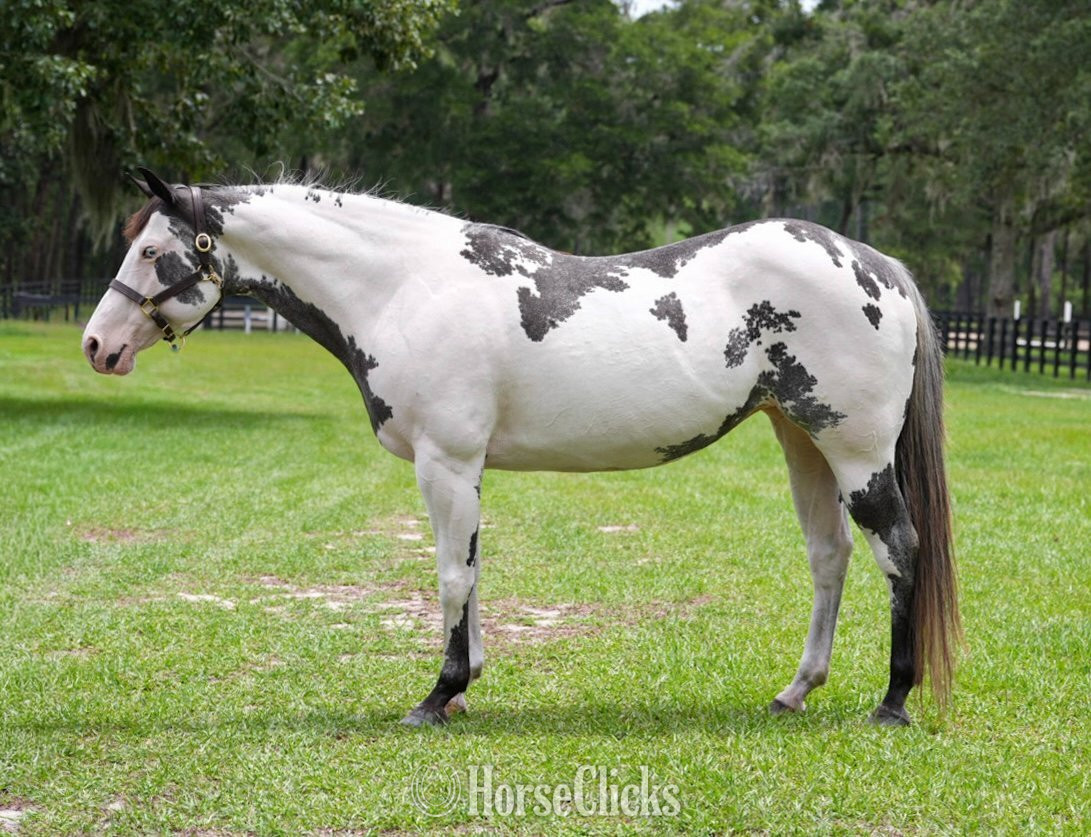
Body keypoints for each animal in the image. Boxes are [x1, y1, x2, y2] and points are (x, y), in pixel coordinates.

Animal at [81, 169, 961, 727]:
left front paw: (434, 697)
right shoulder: (463, 467)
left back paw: (892, 700)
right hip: (800, 439)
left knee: (898, 549)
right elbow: (470, 573)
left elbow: (447, 576)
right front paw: (463, 687)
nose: (97, 345)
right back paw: (794, 690)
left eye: (152, 251)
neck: (403, 285)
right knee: (828, 555)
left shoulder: (444, 461)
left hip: (856, 452)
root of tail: (876, 263)